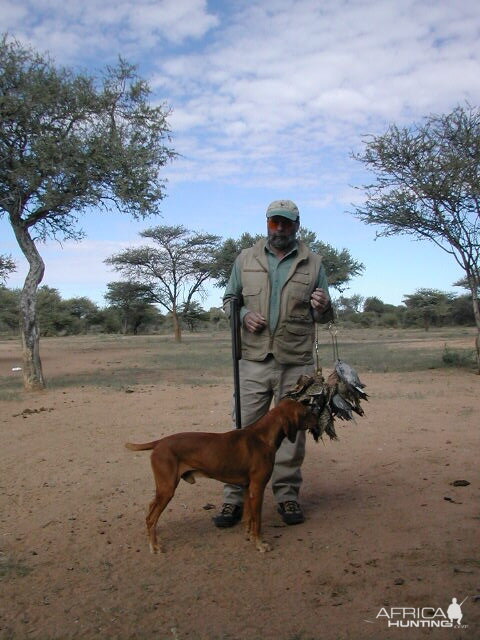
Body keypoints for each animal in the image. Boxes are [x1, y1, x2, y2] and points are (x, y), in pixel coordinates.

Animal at [125, 398, 316, 552]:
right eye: (305, 413)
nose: (317, 419)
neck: (262, 437)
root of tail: (159, 442)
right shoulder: (257, 488)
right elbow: (258, 521)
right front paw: (260, 544)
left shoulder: (247, 488)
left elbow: (249, 518)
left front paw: (249, 536)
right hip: (167, 489)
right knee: (151, 517)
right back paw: (154, 546)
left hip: (163, 489)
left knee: (151, 509)